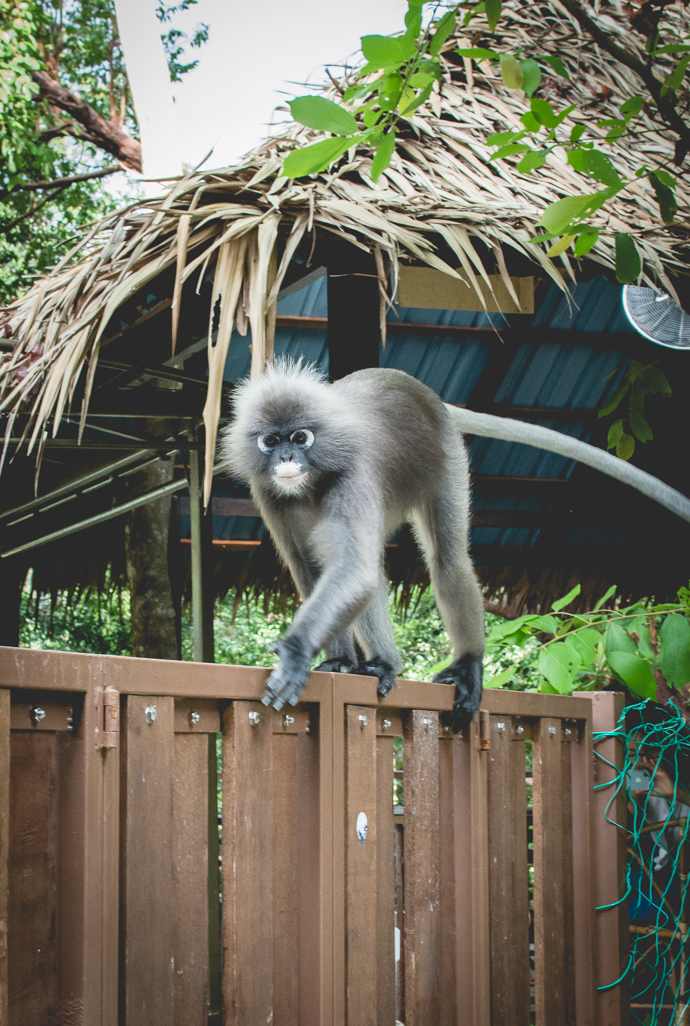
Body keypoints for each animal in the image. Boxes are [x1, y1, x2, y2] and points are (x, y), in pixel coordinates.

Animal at [222, 361, 483, 730]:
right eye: (270, 441)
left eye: (300, 438)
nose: (286, 456)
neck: (312, 482)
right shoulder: (269, 492)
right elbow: (311, 566)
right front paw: (340, 661)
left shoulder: (354, 471)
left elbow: (356, 570)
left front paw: (297, 649)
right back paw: (377, 661)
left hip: (447, 456)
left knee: (448, 560)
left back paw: (459, 667)